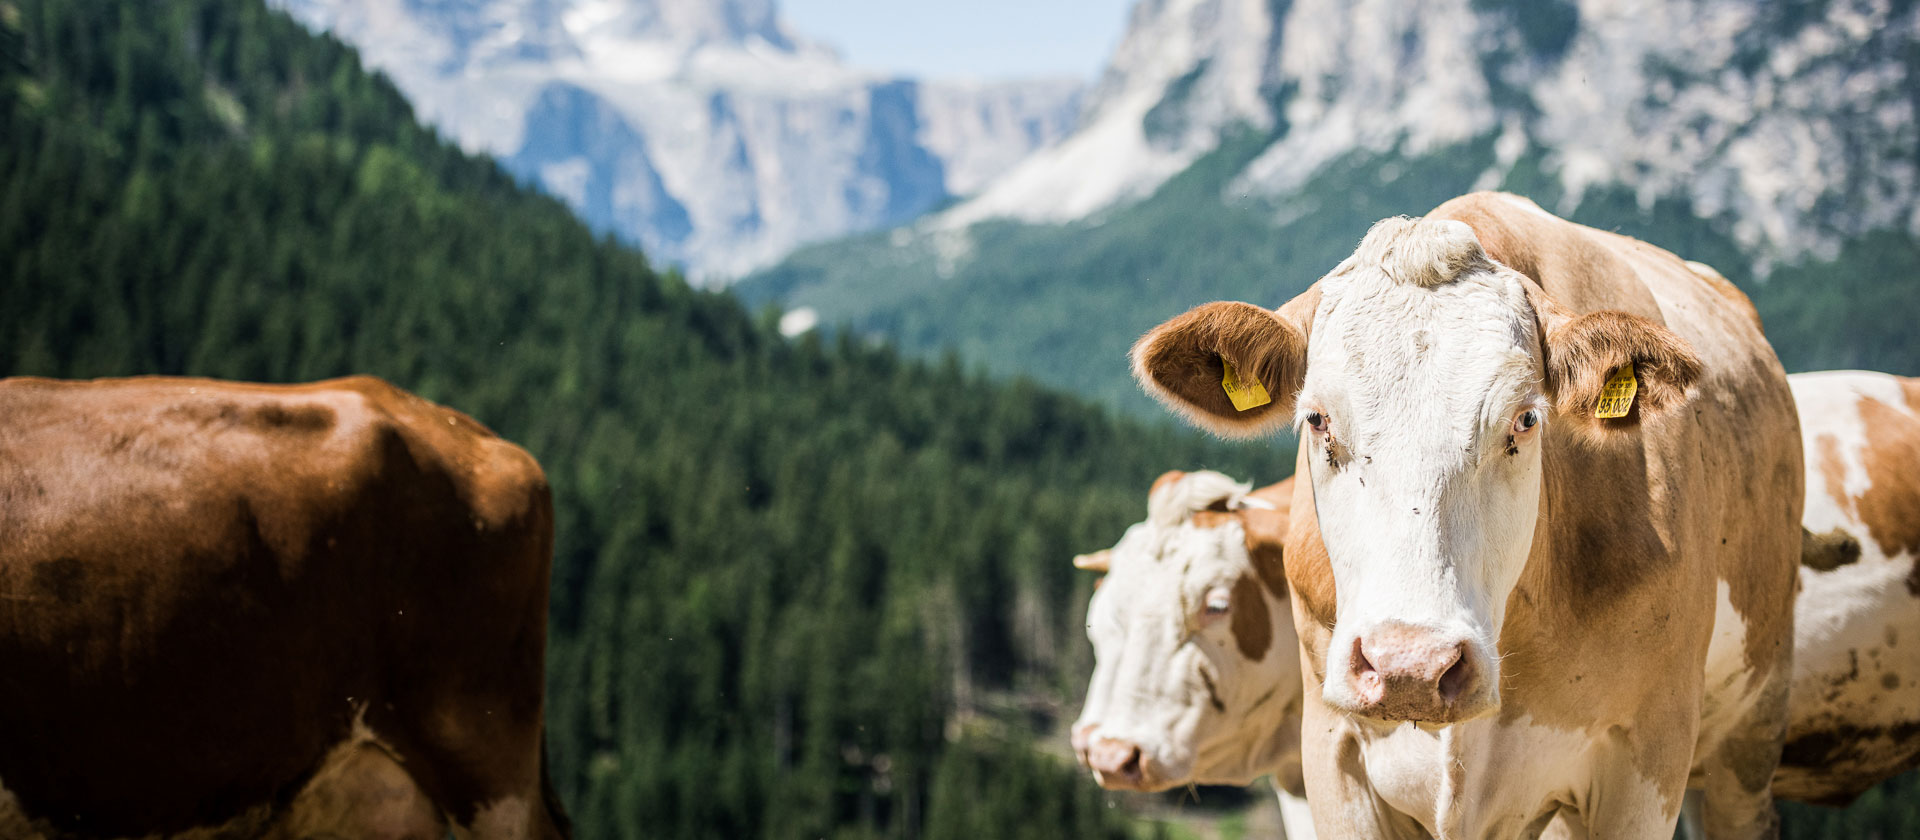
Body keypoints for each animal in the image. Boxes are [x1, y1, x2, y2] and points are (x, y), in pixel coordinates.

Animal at [1130, 192, 1803, 838]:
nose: (1410, 666)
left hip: (1748, 742)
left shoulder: (1647, 760)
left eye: (1525, 419)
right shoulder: (1329, 751)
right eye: (1318, 419)